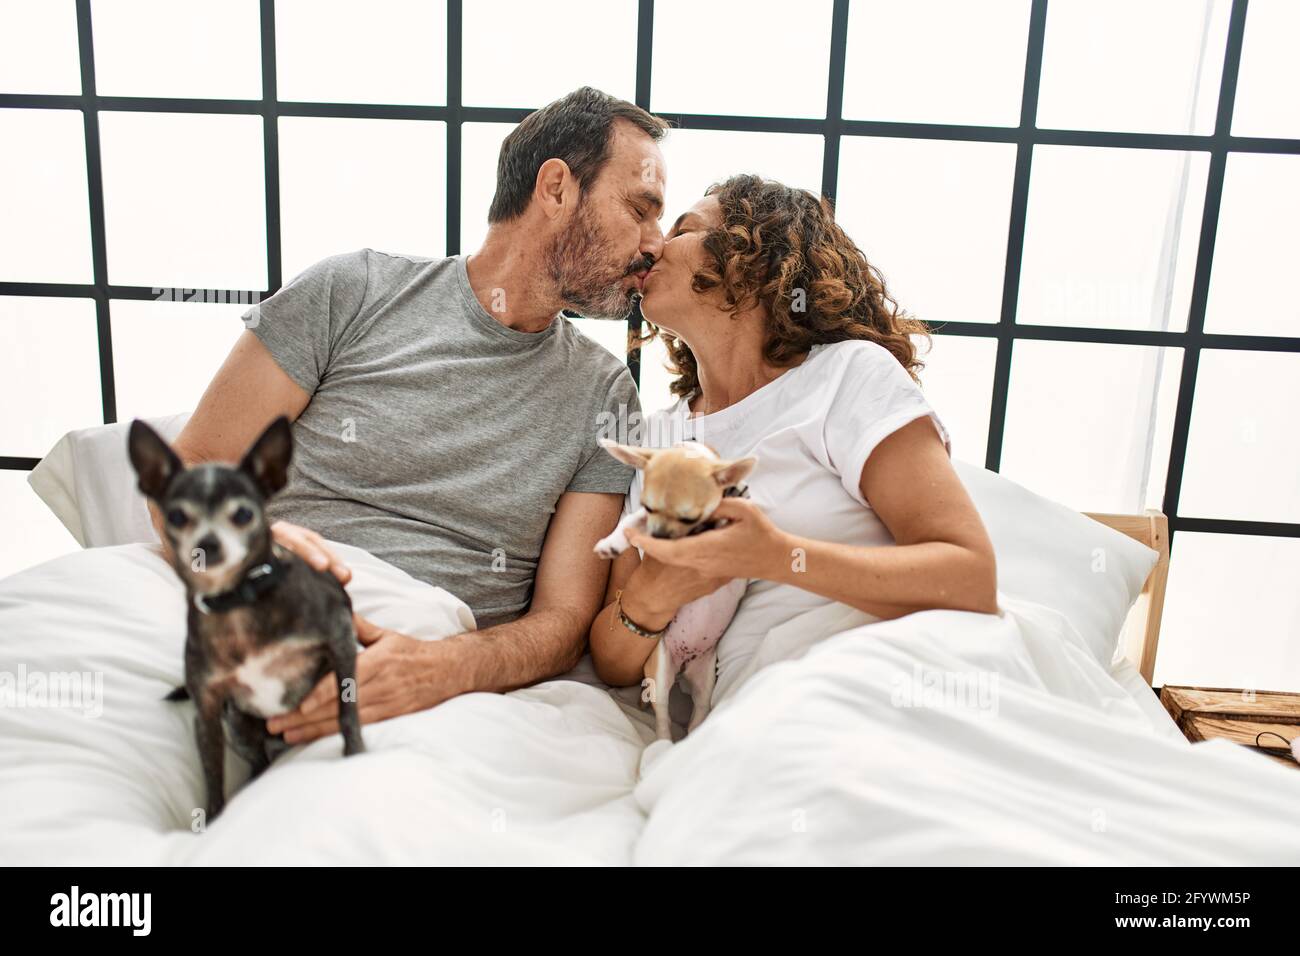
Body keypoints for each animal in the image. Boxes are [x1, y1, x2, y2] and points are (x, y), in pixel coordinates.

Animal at [130, 418, 364, 822]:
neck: (236, 604)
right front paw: (213, 820)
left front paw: (355, 754)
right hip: (239, 724)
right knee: (258, 763)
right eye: (177, 516)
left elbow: (346, 711)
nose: (207, 545)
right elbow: (212, 776)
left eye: (243, 514)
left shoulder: (340, 640)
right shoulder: (208, 711)